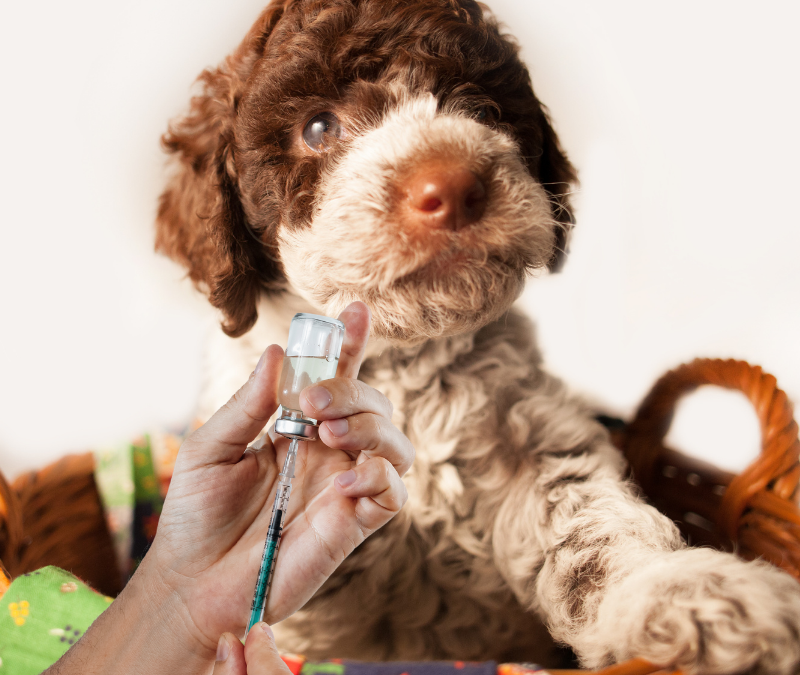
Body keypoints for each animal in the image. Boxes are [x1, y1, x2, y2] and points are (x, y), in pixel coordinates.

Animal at [155, 2, 800, 672]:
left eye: (485, 112)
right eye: (317, 127)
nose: (454, 185)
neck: (401, 359)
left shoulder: (538, 445)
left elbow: (593, 532)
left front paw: (695, 594)